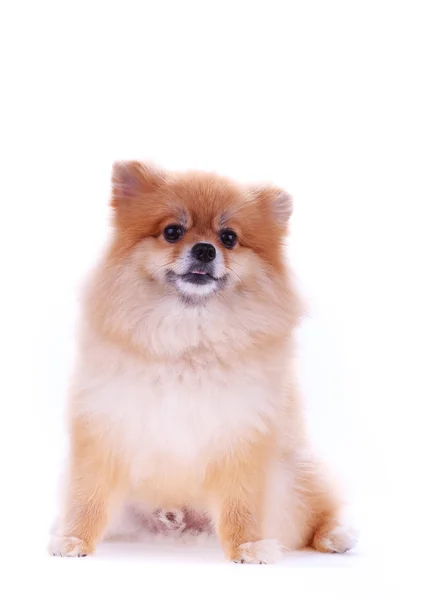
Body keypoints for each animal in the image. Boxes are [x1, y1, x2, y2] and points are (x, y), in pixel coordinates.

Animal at [49, 161, 358, 564]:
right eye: (172, 232)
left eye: (228, 238)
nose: (204, 250)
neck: (188, 336)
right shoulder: (105, 424)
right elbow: (89, 494)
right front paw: (74, 539)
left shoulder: (242, 435)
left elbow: (241, 503)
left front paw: (247, 546)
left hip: (294, 479)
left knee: (317, 512)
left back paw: (336, 535)